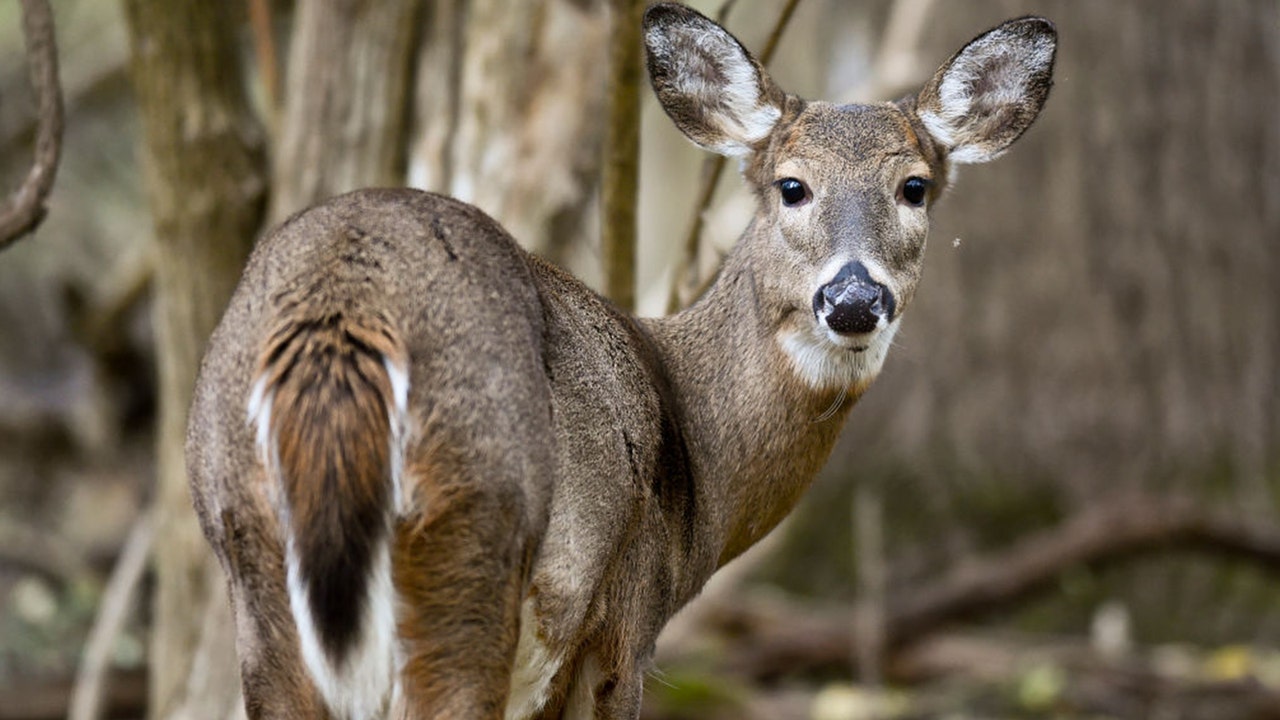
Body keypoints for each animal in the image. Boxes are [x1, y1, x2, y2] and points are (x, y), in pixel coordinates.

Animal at [185, 2, 1054, 712]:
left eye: (914, 187)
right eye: (791, 186)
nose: (852, 300)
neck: (696, 453)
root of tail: (347, 308)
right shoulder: (623, 626)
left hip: (251, 560)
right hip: (471, 537)